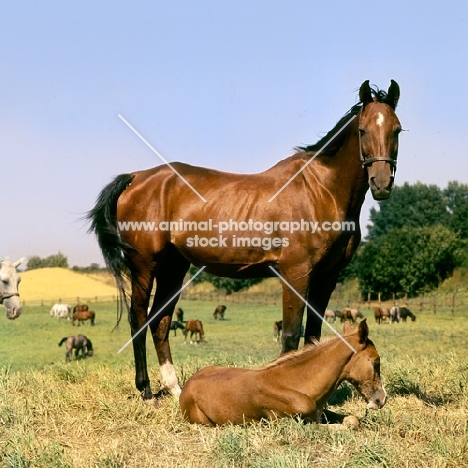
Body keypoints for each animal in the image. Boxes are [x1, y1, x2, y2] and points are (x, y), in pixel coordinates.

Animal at [88, 79, 402, 398]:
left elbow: (313, 334)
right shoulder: (296, 273)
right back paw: (146, 390)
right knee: (138, 319)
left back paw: (175, 388)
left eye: (397, 130)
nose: (381, 183)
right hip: (144, 265)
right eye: (362, 130)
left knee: (160, 321)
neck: (320, 191)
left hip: (173, 267)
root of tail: (136, 178)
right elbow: (291, 334)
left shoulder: (327, 277)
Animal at [179, 320, 384, 426]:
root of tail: (186, 385)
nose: (381, 399)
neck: (295, 383)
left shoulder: (319, 412)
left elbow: (352, 419)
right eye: (376, 361)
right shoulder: (291, 423)